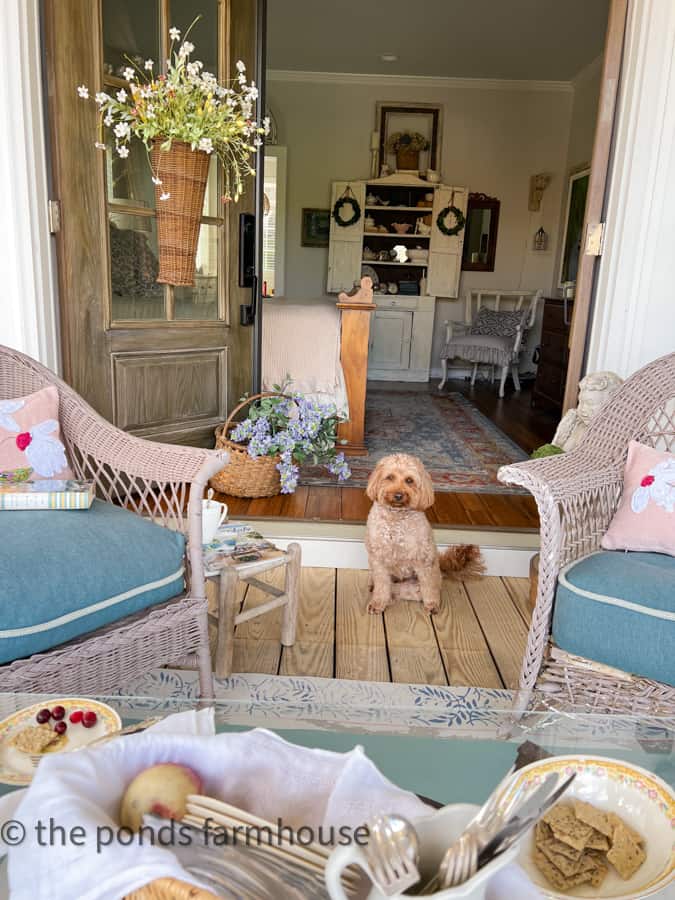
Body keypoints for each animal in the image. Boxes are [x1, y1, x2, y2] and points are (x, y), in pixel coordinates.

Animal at [364, 454, 486, 616]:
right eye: (389, 477)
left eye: (409, 480)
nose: (398, 495)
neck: (396, 519)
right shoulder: (378, 560)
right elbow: (382, 586)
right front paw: (377, 603)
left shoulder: (424, 560)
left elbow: (428, 587)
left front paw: (432, 604)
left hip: (419, 582)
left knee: (404, 591)